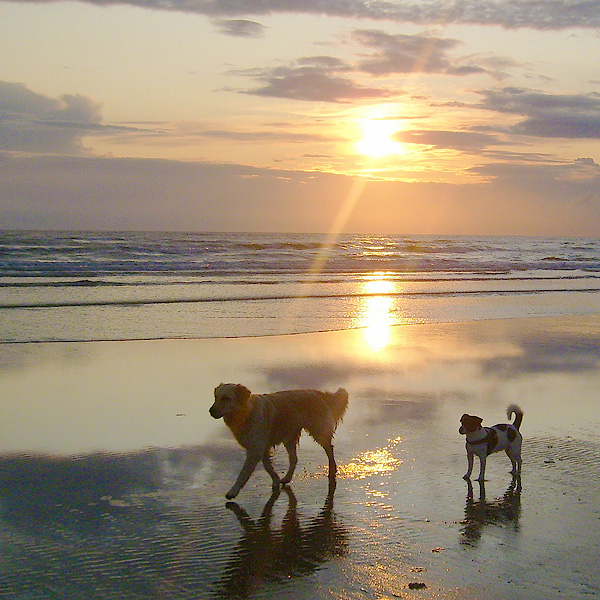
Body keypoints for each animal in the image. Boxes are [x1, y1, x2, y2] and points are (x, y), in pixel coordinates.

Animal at [210, 382, 346, 500]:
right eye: (216, 397)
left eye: (226, 398)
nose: (210, 411)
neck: (246, 412)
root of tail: (319, 393)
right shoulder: (262, 447)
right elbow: (268, 467)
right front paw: (276, 480)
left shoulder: (255, 449)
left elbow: (243, 473)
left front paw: (233, 491)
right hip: (289, 437)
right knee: (294, 459)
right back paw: (287, 478)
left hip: (318, 431)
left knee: (329, 449)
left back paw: (332, 470)